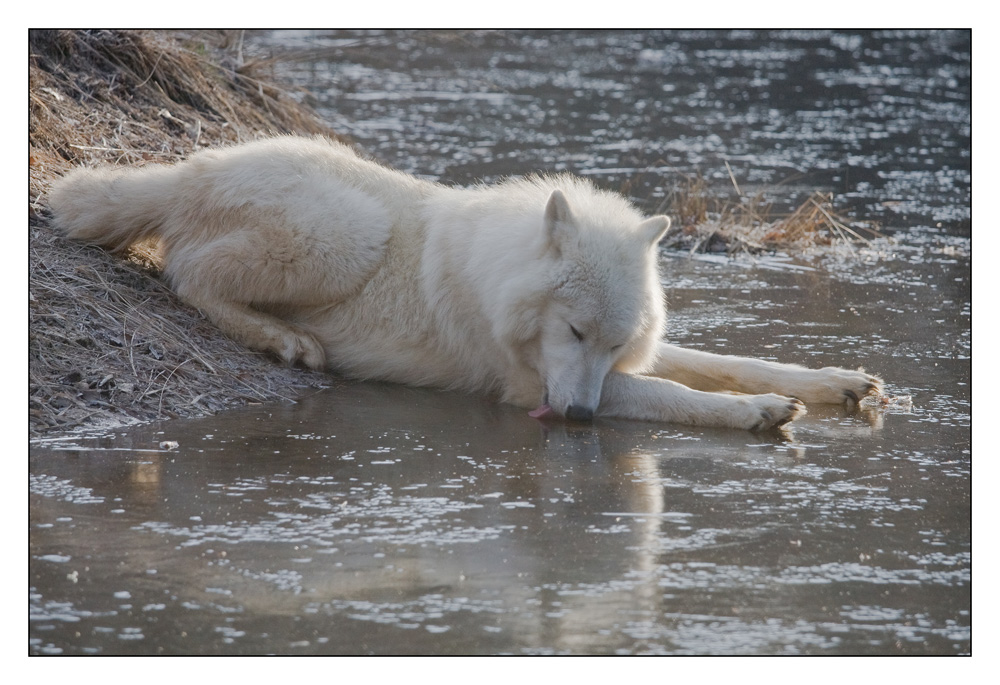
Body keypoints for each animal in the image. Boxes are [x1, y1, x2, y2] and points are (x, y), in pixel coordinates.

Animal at [50, 136, 880, 430]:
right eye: (572, 330)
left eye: (611, 341)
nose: (579, 417)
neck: (501, 274)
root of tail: (197, 162)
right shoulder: (531, 383)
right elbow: (677, 393)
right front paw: (761, 412)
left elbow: (727, 360)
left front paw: (835, 381)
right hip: (347, 232)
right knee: (187, 275)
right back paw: (286, 339)